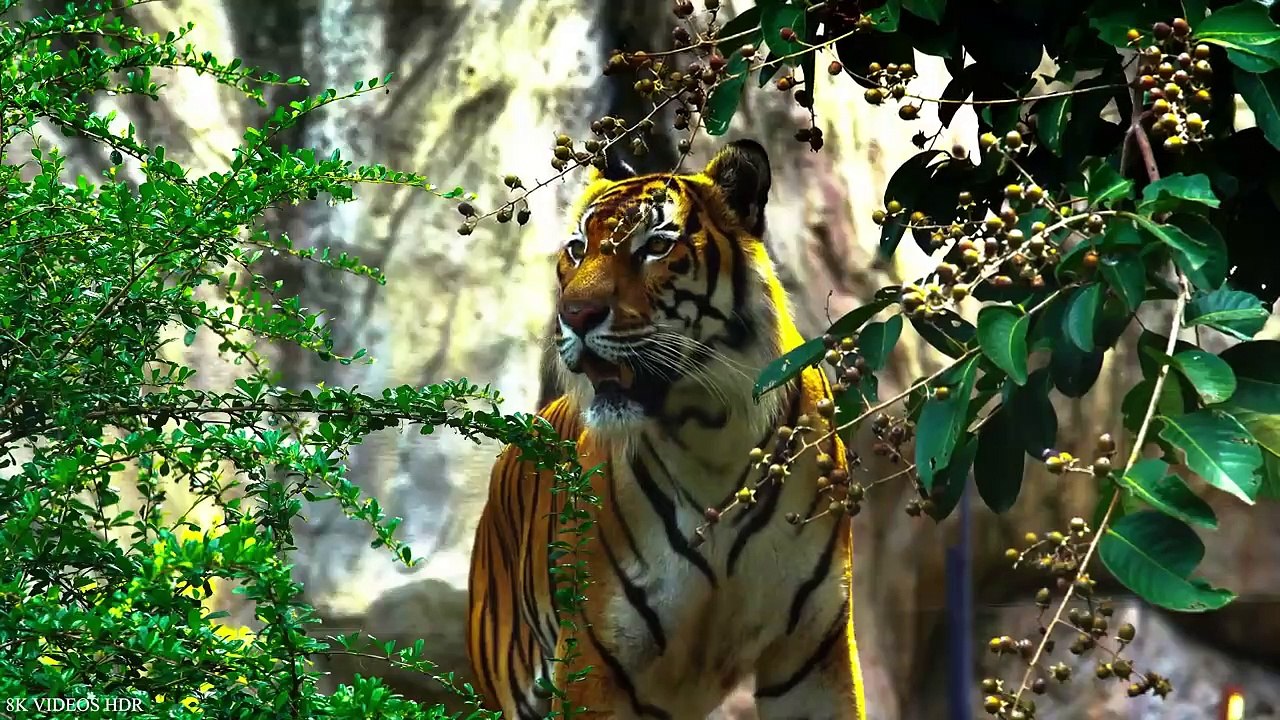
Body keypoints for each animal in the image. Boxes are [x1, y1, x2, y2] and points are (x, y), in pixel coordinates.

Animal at [466, 139, 868, 719]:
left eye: (655, 246)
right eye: (576, 249)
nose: (574, 314)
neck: (712, 434)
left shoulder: (811, 652)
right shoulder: (597, 658)